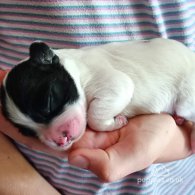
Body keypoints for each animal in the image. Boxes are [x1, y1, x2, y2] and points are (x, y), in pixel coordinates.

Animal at [1, 38, 195, 151]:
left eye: (48, 102)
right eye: (26, 133)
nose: (60, 141)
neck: (77, 70)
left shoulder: (116, 83)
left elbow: (95, 114)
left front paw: (116, 122)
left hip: (186, 98)